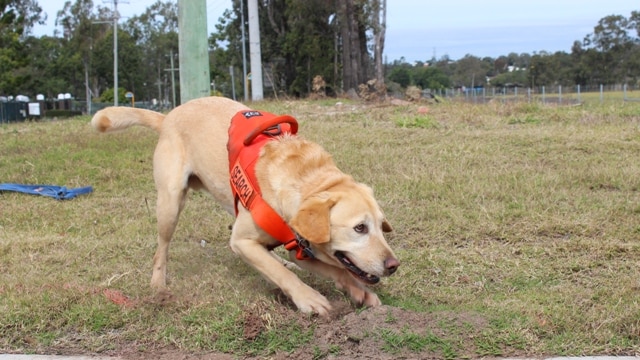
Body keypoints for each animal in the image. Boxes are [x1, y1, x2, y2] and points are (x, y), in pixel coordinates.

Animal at [92, 95, 398, 316]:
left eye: (381, 226)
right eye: (360, 228)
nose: (394, 265)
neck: (307, 182)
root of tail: (169, 117)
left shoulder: (302, 248)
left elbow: (336, 269)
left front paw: (359, 291)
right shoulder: (242, 240)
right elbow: (281, 274)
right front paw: (309, 298)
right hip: (170, 202)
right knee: (161, 250)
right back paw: (158, 285)